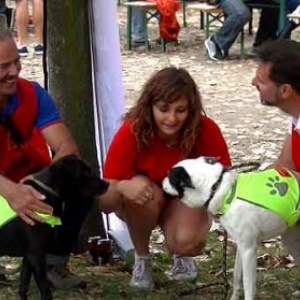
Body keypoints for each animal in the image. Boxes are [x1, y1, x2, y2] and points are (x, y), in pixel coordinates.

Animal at [0, 155, 109, 300]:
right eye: (85, 172)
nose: (107, 184)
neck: (48, 192)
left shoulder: (28, 256)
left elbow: (24, 284)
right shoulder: (36, 254)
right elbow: (45, 290)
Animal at [163, 157, 300, 300]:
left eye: (169, 177)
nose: (162, 182)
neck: (218, 189)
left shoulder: (248, 250)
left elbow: (248, 285)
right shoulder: (241, 247)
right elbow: (236, 276)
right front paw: (234, 296)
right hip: (292, 240)